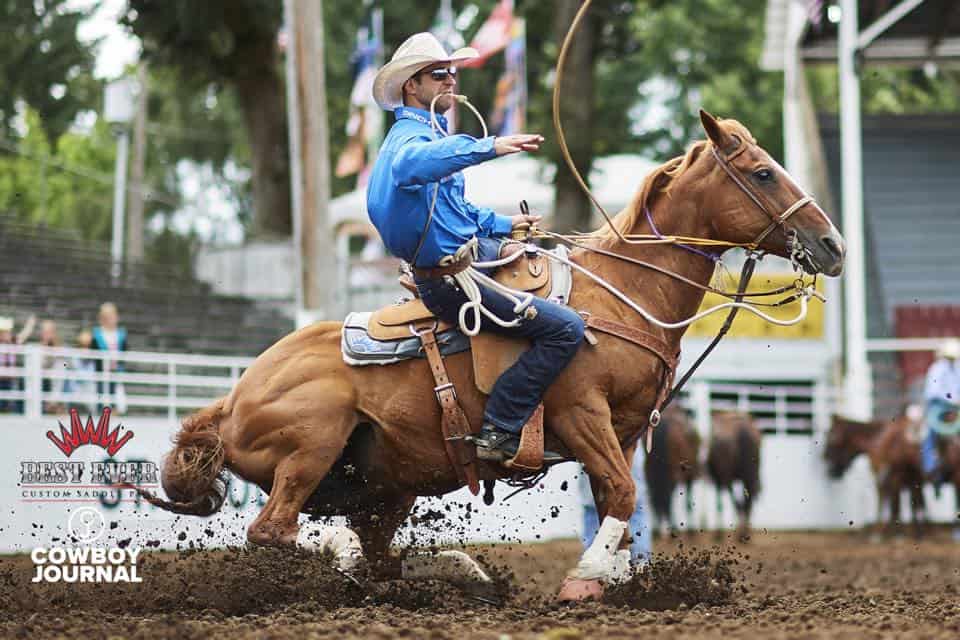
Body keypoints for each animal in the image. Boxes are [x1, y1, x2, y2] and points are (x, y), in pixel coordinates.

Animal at [643, 404, 701, 537]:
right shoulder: (689, 476)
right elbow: (687, 502)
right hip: (674, 474)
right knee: (667, 496)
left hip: (650, 472)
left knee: (656, 496)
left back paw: (659, 527)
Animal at [706, 411, 762, 542]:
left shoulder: (719, 479)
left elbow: (719, 504)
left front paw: (719, 534)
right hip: (750, 474)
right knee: (747, 502)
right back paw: (744, 534)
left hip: (727, 476)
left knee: (738, 503)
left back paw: (739, 534)